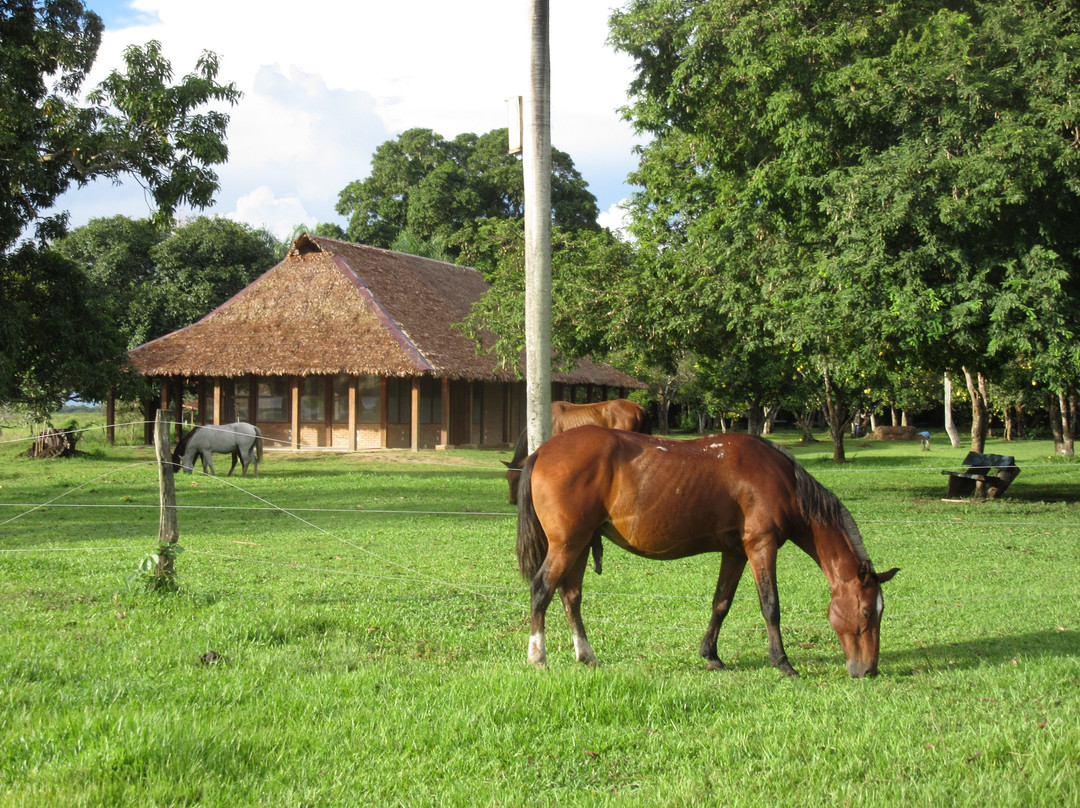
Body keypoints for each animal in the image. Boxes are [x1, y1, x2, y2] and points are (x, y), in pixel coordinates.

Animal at [514, 425, 894, 678]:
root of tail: (543, 451)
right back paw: (537, 656)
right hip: (567, 545)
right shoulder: (761, 546)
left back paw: (586, 655)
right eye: (865, 613)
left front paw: (711, 655)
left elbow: (721, 602)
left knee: (570, 596)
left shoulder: (736, 553)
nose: (869, 670)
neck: (783, 481)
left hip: (579, 544)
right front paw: (783, 663)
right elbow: (770, 606)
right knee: (541, 590)